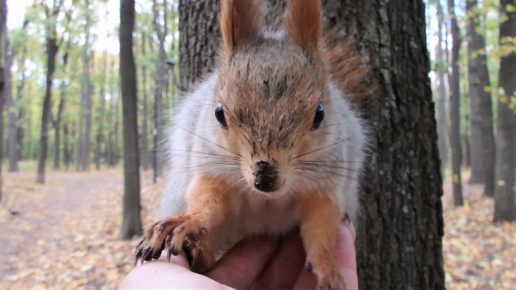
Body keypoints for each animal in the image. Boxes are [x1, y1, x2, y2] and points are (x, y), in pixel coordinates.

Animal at [136, 0, 370, 288]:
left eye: (320, 114)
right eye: (219, 114)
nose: (266, 179)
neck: (266, 199)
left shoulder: (325, 188)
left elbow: (322, 230)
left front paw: (328, 271)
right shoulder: (212, 170)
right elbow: (208, 204)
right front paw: (188, 221)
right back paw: (197, 252)